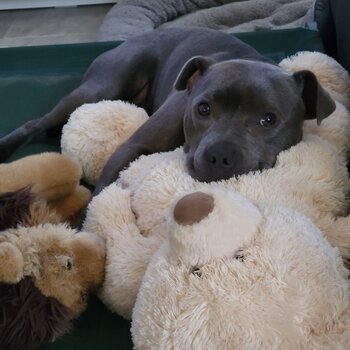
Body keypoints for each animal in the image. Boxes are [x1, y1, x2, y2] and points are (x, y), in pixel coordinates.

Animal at [0, 27, 334, 196]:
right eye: (203, 109)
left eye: (268, 119)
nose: (219, 155)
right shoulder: (132, 146)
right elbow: (101, 197)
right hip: (99, 88)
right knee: (34, 123)